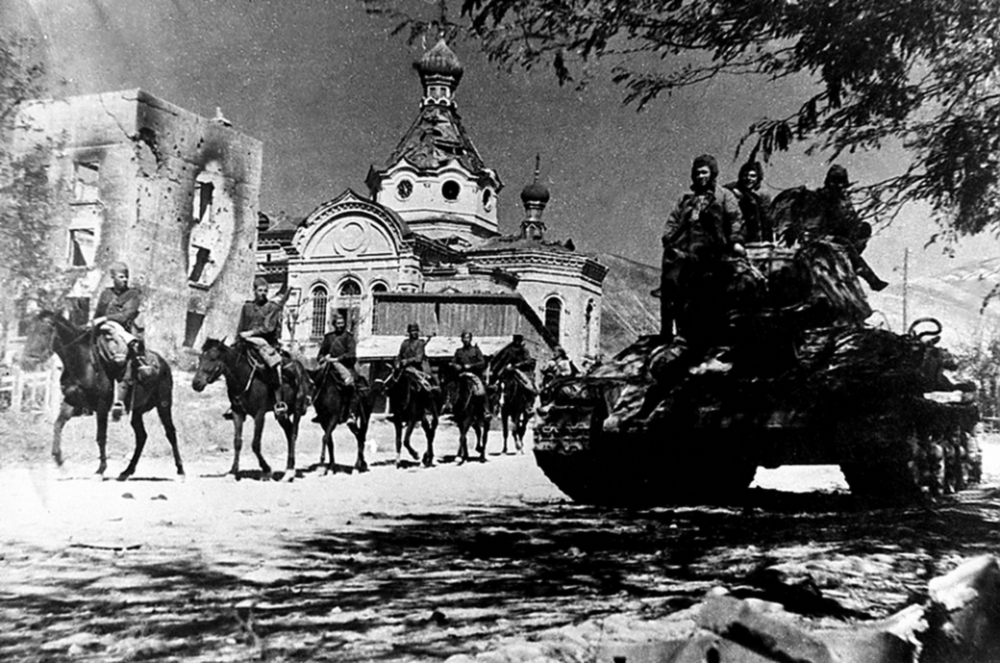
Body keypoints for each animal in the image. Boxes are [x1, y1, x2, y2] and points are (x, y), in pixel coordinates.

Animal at [21, 311, 184, 481]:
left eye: (44, 332)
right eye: (28, 331)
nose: (26, 360)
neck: (84, 364)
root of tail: (162, 363)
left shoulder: (102, 407)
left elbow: (101, 436)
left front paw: (100, 470)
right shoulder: (72, 403)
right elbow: (57, 425)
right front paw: (60, 461)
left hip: (164, 404)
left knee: (170, 433)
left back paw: (180, 471)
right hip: (137, 412)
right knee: (141, 437)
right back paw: (126, 472)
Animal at [191, 338, 310, 481]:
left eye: (212, 358)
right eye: (200, 357)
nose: (196, 383)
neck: (244, 377)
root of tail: (300, 367)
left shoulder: (259, 415)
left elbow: (255, 444)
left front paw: (266, 469)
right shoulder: (237, 413)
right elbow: (237, 442)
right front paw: (232, 472)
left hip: (297, 408)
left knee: (292, 434)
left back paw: (290, 472)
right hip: (282, 414)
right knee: (289, 431)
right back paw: (289, 469)